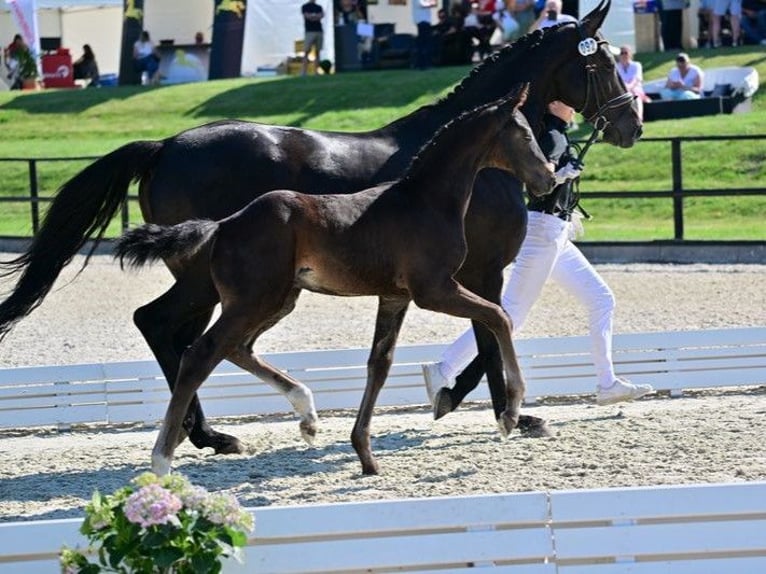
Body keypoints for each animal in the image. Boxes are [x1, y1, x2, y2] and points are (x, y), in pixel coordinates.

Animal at [115, 88, 560, 476]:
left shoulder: (395, 296)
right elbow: (499, 317)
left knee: (235, 348)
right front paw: (511, 413)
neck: (425, 200)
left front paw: (366, 456)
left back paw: (306, 416)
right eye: (524, 134)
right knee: (198, 353)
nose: (549, 179)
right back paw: (166, 458)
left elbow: (379, 363)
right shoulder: (435, 289)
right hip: (253, 300)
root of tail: (224, 225)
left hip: (277, 299)